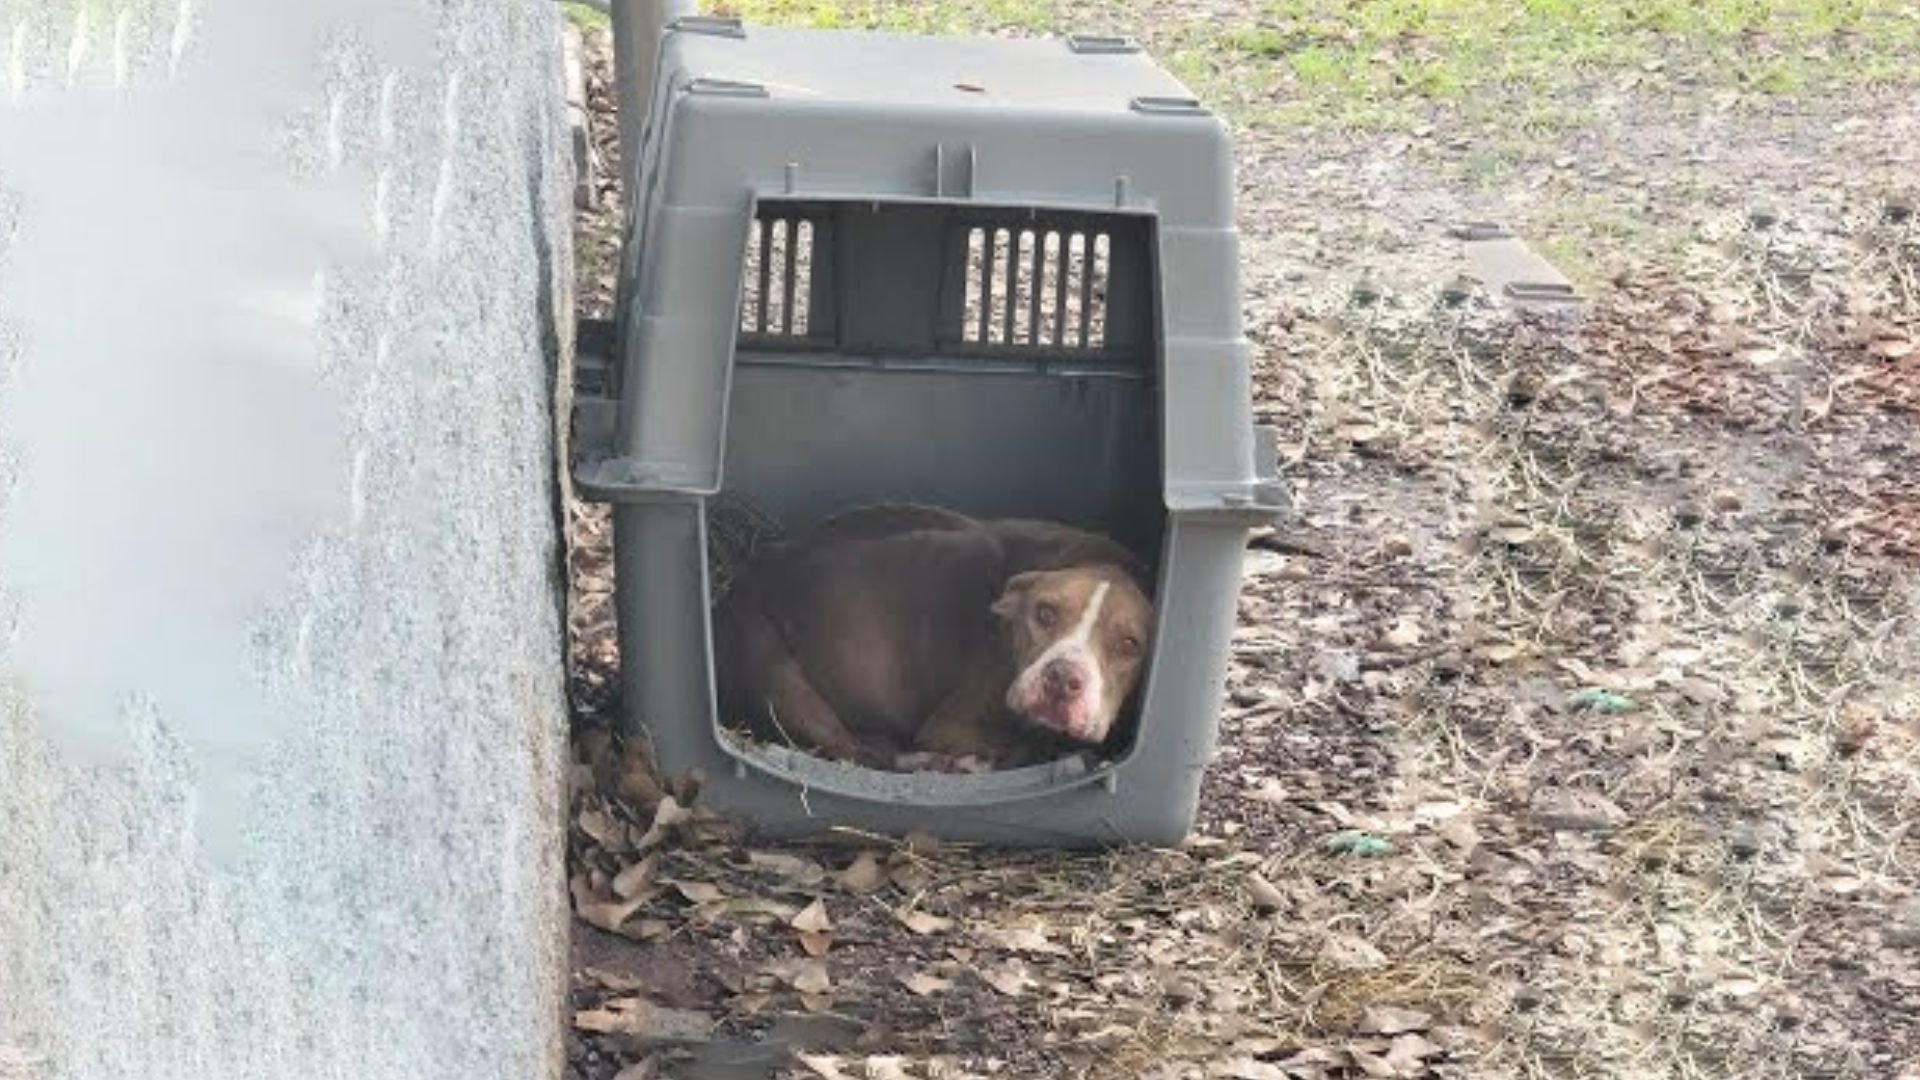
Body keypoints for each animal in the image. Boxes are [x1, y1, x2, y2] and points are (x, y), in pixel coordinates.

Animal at [710, 499, 1144, 768]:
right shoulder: (948, 725)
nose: (1062, 678)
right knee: (856, 753)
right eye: (1045, 613)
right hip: (775, 674)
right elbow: (1024, 742)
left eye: (1130, 644)